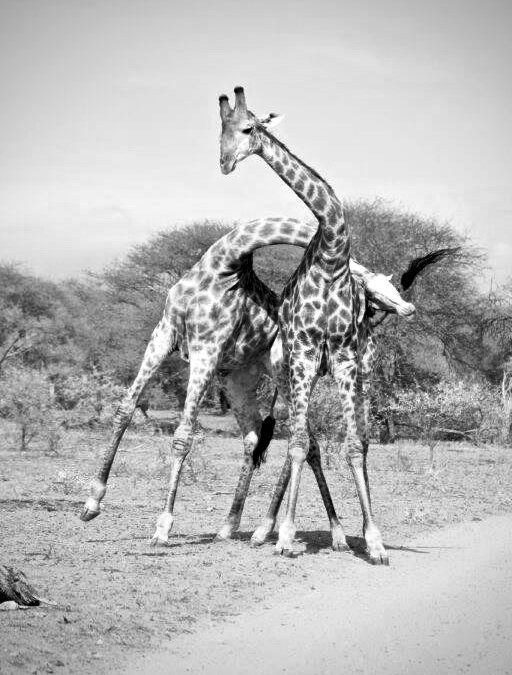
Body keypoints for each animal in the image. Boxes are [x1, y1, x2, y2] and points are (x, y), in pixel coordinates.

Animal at [80, 215, 414, 553]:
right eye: (375, 293)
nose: (408, 309)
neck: (226, 261)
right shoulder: (164, 333)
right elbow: (125, 409)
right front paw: (92, 502)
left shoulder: (206, 346)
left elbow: (182, 436)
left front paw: (162, 528)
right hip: (238, 378)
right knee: (261, 437)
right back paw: (235, 526)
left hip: (289, 378)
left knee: (309, 441)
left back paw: (326, 534)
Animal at [219, 86, 386, 561]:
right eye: (220, 131)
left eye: (249, 128)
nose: (225, 162)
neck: (330, 255)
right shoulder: (307, 354)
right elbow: (296, 445)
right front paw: (286, 534)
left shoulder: (345, 357)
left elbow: (353, 445)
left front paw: (374, 540)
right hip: (290, 374)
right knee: (303, 443)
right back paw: (268, 530)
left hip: (358, 373)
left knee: (346, 442)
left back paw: (338, 533)